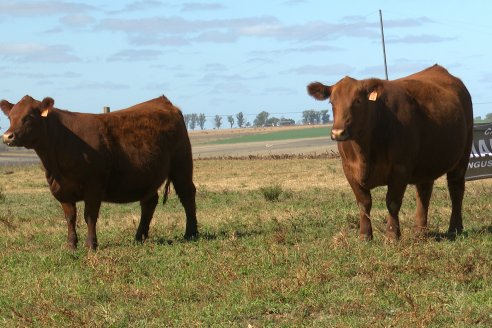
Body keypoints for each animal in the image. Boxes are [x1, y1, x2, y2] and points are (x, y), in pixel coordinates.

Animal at [2, 96, 198, 250]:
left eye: (29, 116)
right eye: (10, 117)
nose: (7, 136)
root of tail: (164, 102)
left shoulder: (93, 186)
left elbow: (89, 216)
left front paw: (91, 245)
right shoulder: (62, 189)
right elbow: (70, 217)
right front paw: (71, 245)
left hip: (182, 165)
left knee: (187, 194)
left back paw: (191, 233)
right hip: (148, 175)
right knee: (149, 203)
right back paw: (139, 237)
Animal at [308, 64, 472, 238]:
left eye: (358, 100)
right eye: (332, 102)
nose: (338, 132)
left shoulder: (400, 167)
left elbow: (392, 202)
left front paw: (392, 235)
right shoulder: (348, 169)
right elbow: (363, 203)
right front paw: (364, 235)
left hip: (462, 157)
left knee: (456, 190)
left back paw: (455, 228)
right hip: (426, 163)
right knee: (424, 193)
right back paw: (419, 231)